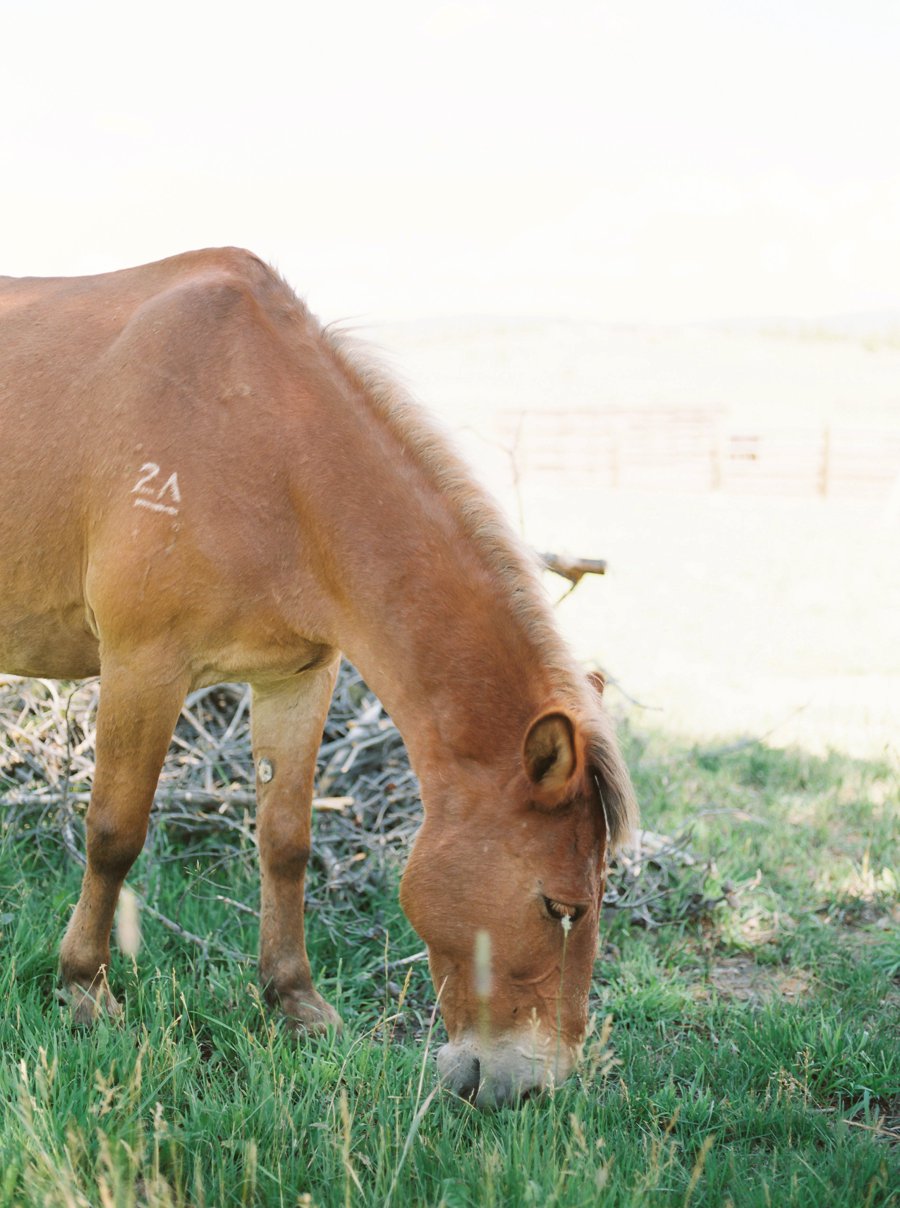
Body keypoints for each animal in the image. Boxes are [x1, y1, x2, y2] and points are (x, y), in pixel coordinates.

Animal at [0, 250, 637, 1106]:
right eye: (559, 906)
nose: (534, 1088)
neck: (268, 447)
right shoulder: (142, 666)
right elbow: (114, 834)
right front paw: (84, 988)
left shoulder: (299, 679)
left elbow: (286, 843)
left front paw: (293, 1000)